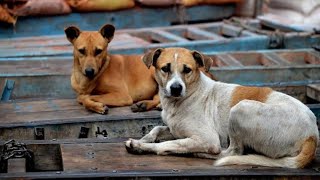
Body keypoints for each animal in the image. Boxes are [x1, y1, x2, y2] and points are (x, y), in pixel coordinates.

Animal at [125, 47, 318, 168]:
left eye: (187, 70)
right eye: (165, 68)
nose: (176, 88)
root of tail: (312, 135)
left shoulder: (207, 139)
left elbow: (166, 145)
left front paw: (140, 145)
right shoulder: (175, 129)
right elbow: (157, 129)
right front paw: (145, 139)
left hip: (240, 109)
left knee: (233, 152)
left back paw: (199, 154)